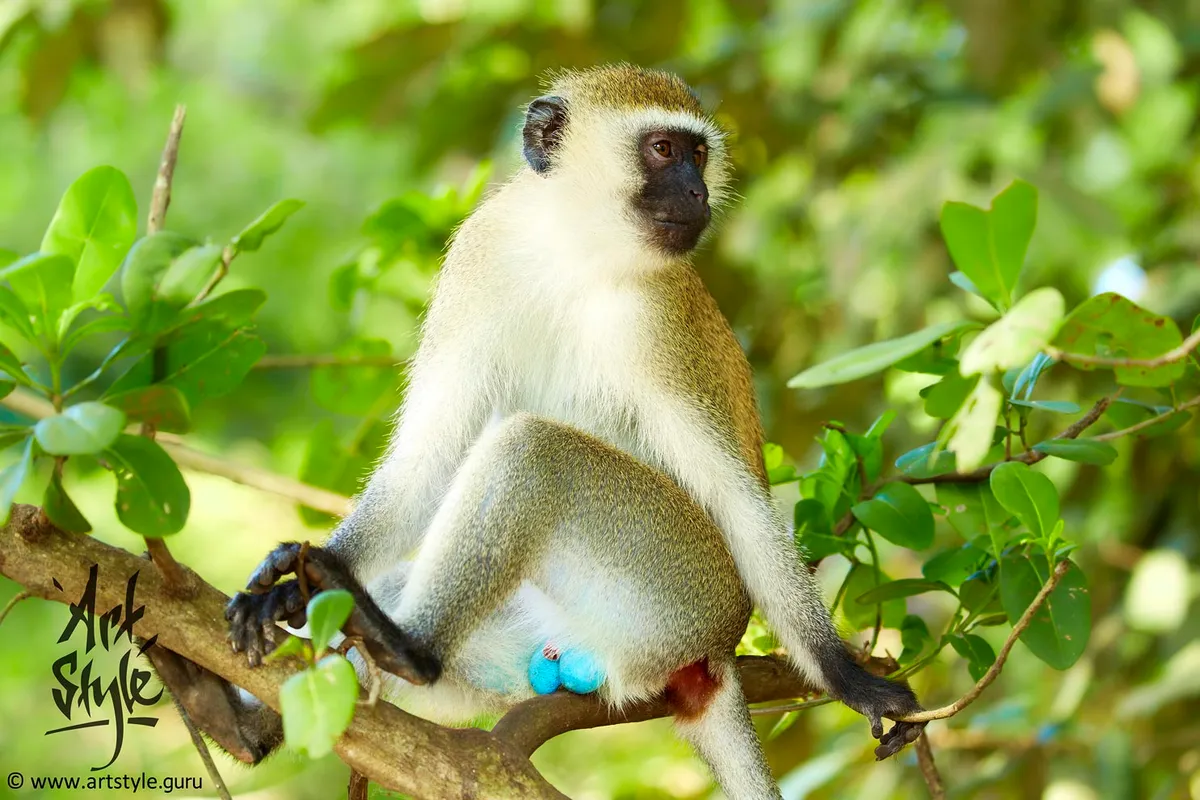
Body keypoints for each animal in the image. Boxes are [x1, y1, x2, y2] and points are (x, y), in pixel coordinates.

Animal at [208, 65, 926, 797]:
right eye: (664, 150)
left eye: (698, 155)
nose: (698, 191)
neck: (574, 249)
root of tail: (712, 657)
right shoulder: (479, 254)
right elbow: (426, 458)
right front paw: (294, 576)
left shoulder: (661, 321)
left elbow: (736, 498)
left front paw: (849, 678)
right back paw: (244, 706)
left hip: (678, 589)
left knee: (536, 449)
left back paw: (408, 649)